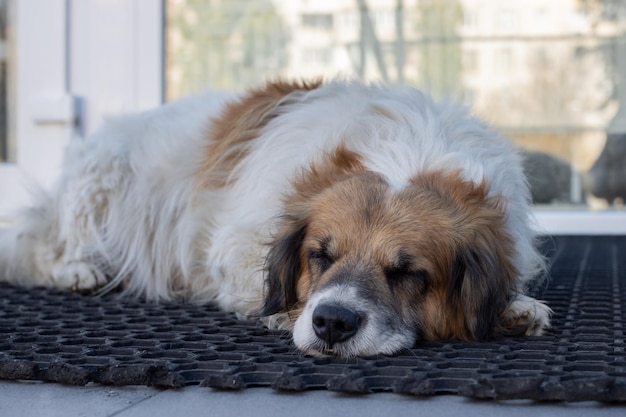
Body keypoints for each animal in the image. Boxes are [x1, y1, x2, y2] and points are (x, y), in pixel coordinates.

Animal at [0, 79, 544, 356]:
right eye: (318, 255)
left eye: (407, 272)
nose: (332, 323)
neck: (408, 153)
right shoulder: (236, 244)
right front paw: (286, 313)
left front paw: (516, 307)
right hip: (102, 176)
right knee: (53, 247)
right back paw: (80, 269)